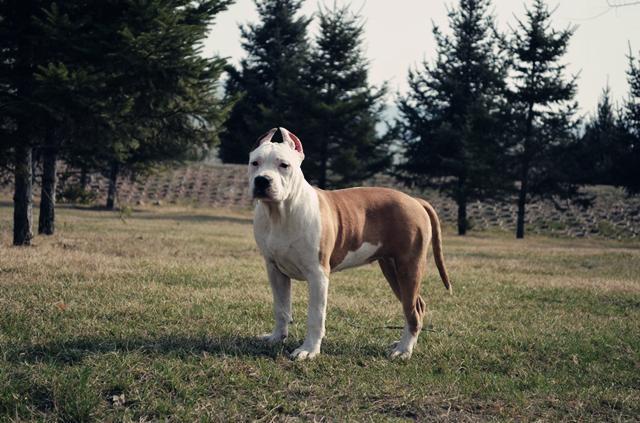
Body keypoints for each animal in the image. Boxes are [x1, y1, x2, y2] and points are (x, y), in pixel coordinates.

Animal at [250, 126, 450, 362]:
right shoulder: (275, 270)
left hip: (409, 267)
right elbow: (281, 309)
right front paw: (276, 337)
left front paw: (309, 350)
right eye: (254, 163)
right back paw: (403, 344)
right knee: (417, 305)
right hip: (392, 269)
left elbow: (315, 316)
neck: (280, 212)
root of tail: (415, 200)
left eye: (284, 165)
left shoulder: (318, 275)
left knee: (412, 310)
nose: (262, 180)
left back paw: (403, 350)